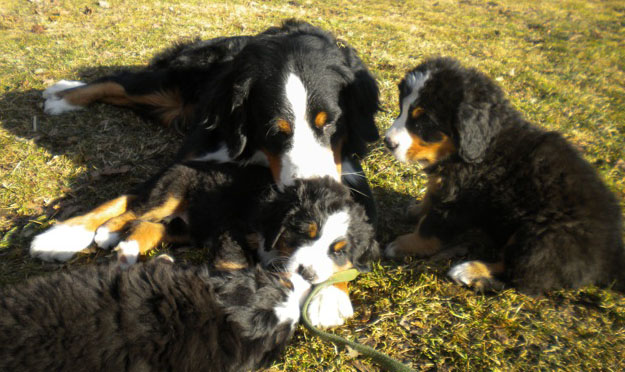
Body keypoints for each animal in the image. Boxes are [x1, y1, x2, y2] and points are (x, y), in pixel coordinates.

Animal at [42, 20, 380, 221]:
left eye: (330, 122)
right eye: (274, 131)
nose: (311, 186)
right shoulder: (193, 154)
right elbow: (129, 197)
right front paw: (60, 237)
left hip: (168, 105)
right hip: (169, 88)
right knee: (117, 82)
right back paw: (62, 96)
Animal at [382, 56, 620, 294]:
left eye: (425, 122)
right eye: (401, 108)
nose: (387, 142)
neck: (485, 144)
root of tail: (610, 256)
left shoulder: (460, 201)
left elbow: (431, 228)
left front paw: (404, 244)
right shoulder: (447, 184)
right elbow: (431, 196)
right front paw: (415, 210)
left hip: (542, 237)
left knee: (522, 275)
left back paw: (470, 271)